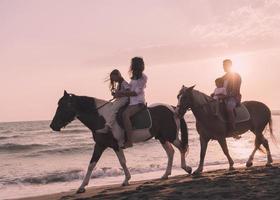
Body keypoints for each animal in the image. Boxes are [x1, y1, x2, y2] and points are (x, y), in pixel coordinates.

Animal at [49, 91, 192, 193]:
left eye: (63, 106)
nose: (52, 125)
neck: (102, 119)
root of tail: (173, 108)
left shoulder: (114, 145)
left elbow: (122, 161)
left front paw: (126, 180)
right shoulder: (101, 145)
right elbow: (92, 164)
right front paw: (81, 187)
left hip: (171, 136)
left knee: (181, 148)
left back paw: (186, 168)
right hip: (162, 137)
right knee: (171, 152)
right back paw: (166, 174)